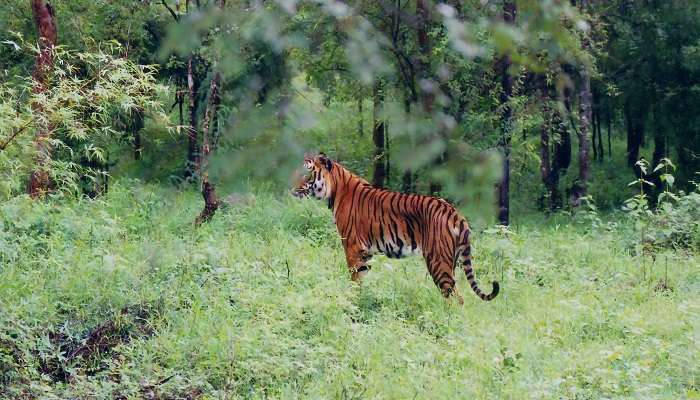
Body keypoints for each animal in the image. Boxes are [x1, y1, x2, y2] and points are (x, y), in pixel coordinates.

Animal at [290, 153, 498, 304]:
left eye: (307, 173)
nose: (291, 189)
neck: (335, 189)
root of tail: (455, 213)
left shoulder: (352, 246)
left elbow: (354, 279)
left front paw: (352, 302)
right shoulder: (365, 253)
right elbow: (362, 278)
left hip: (438, 261)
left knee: (456, 298)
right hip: (450, 260)